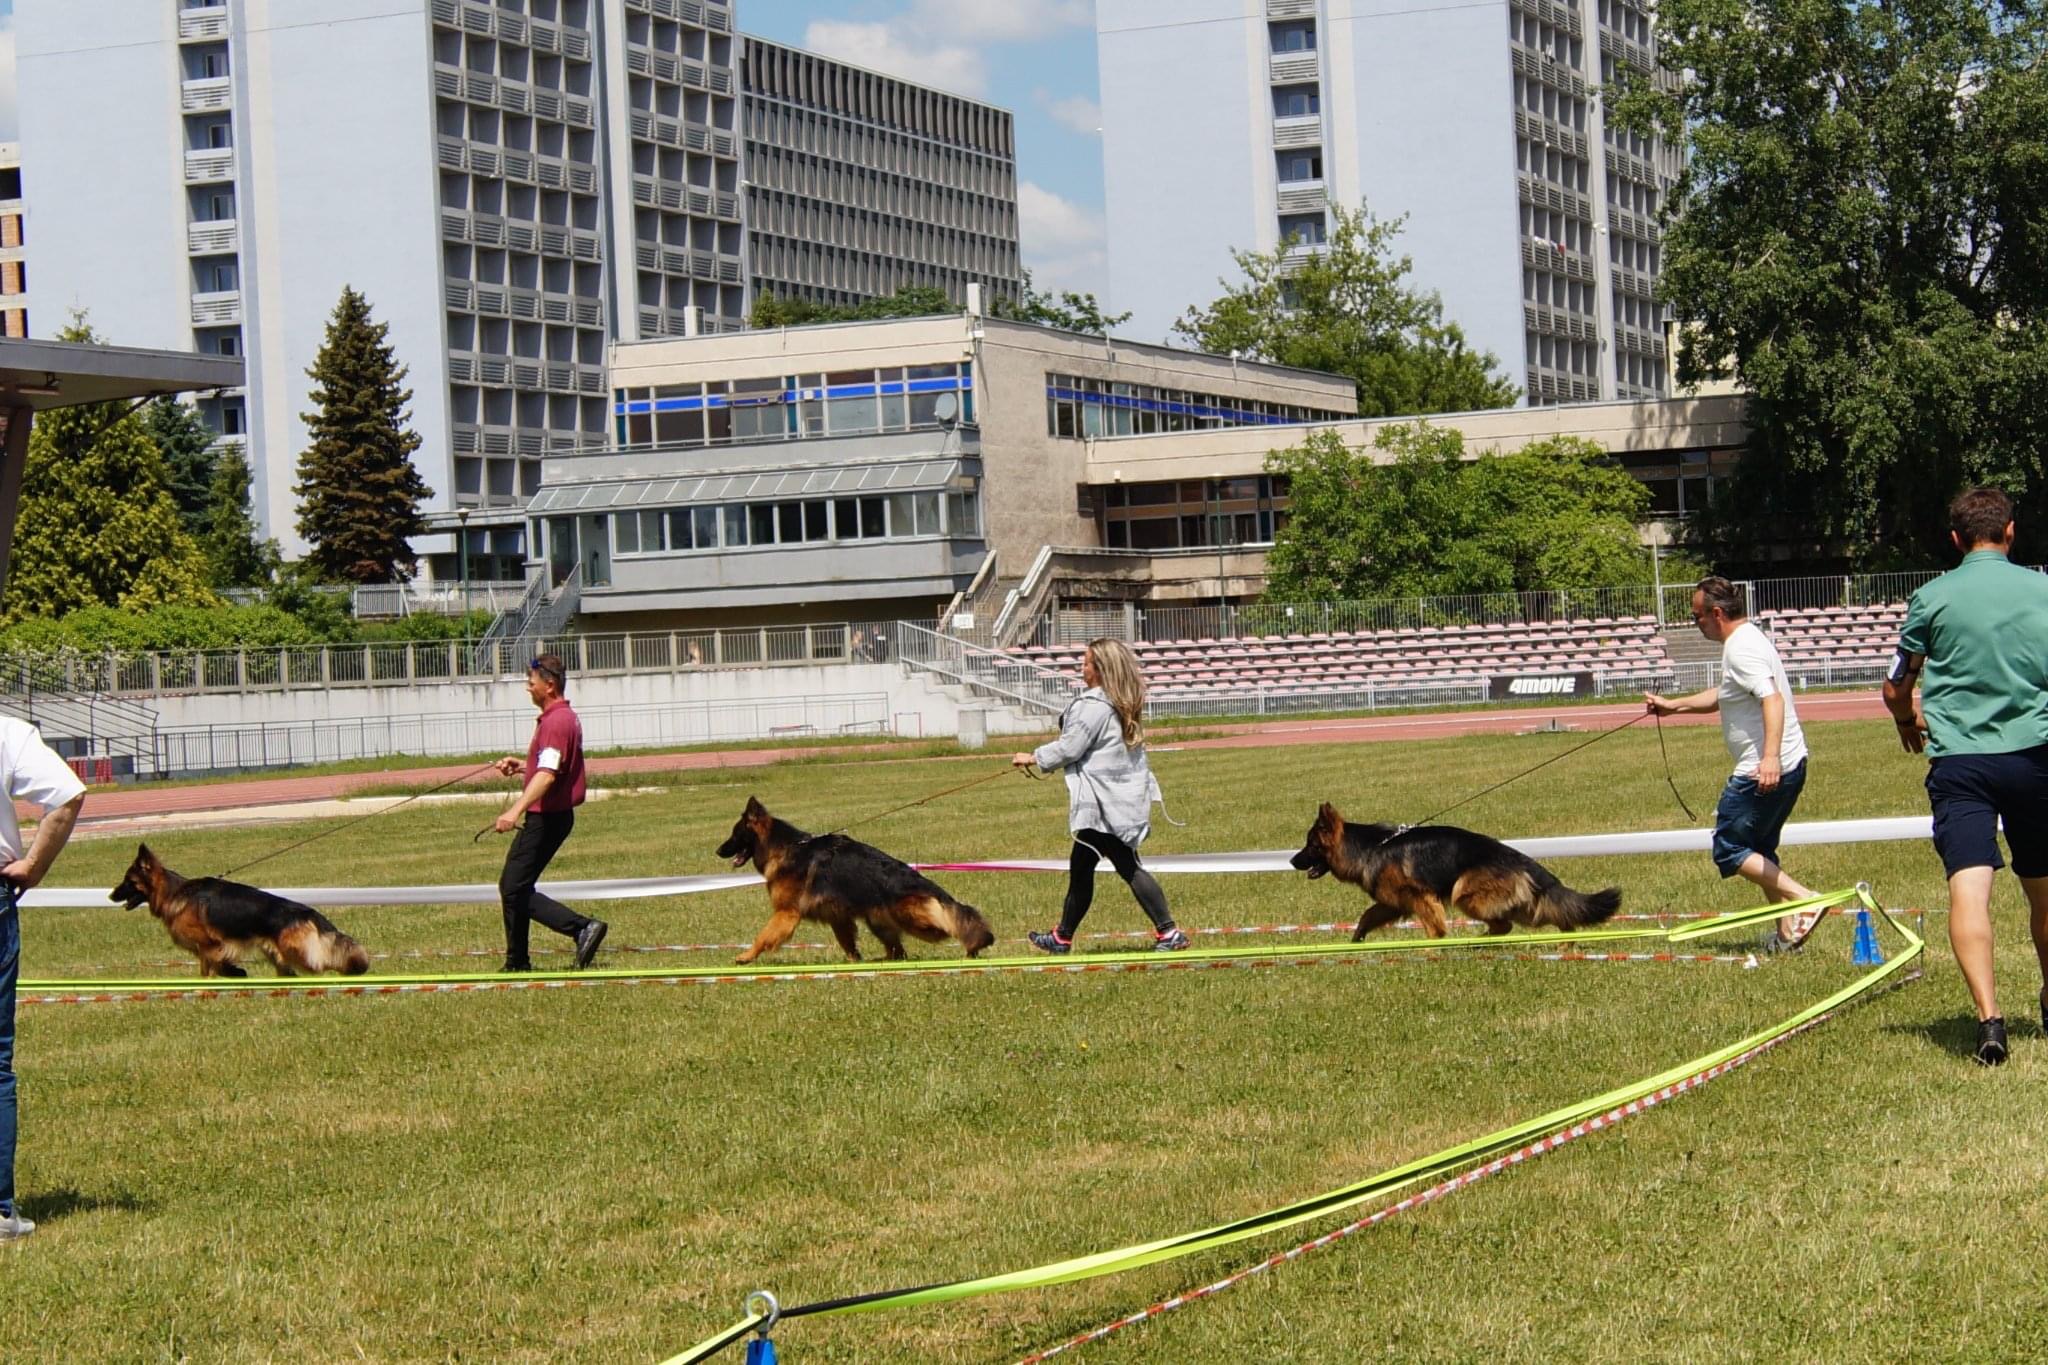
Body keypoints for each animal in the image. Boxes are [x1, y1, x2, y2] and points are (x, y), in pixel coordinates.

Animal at [110, 844, 371, 978]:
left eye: (128, 881)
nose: (110, 895)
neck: (174, 894)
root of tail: (309, 913)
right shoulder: (209, 949)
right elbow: (214, 968)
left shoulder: (209, 945)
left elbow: (211, 967)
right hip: (278, 954)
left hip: (296, 951)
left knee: (321, 961)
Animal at [716, 797, 996, 964]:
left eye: (735, 834)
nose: (717, 851)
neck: (785, 847)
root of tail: (920, 881)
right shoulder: (838, 917)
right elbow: (847, 943)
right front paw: (854, 963)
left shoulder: (786, 913)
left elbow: (763, 936)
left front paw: (745, 956)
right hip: (879, 921)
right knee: (898, 950)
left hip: (912, 919)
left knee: (947, 924)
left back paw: (973, 945)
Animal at [1290, 804, 1622, 940]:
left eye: (1310, 845)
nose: (1292, 861)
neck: (1370, 848)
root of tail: (1523, 861)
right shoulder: (1392, 903)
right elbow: (1366, 916)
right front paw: (1355, 940)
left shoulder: (1421, 898)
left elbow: (1434, 928)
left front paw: (1434, 947)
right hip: (1522, 906)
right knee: (1552, 916)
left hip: (1466, 894)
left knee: (1506, 924)